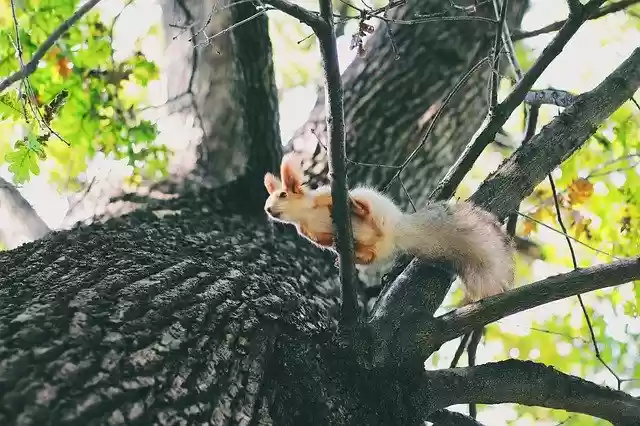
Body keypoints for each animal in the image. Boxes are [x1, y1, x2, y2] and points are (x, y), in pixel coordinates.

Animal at [263, 153, 515, 302]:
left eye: (283, 194)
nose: (267, 209)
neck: (304, 215)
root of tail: (398, 229)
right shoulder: (307, 231)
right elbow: (318, 239)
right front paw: (330, 244)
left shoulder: (323, 194)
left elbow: (326, 197)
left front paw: (338, 206)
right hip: (377, 248)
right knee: (370, 254)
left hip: (375, 207)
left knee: (369, 213)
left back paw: (357, 207)